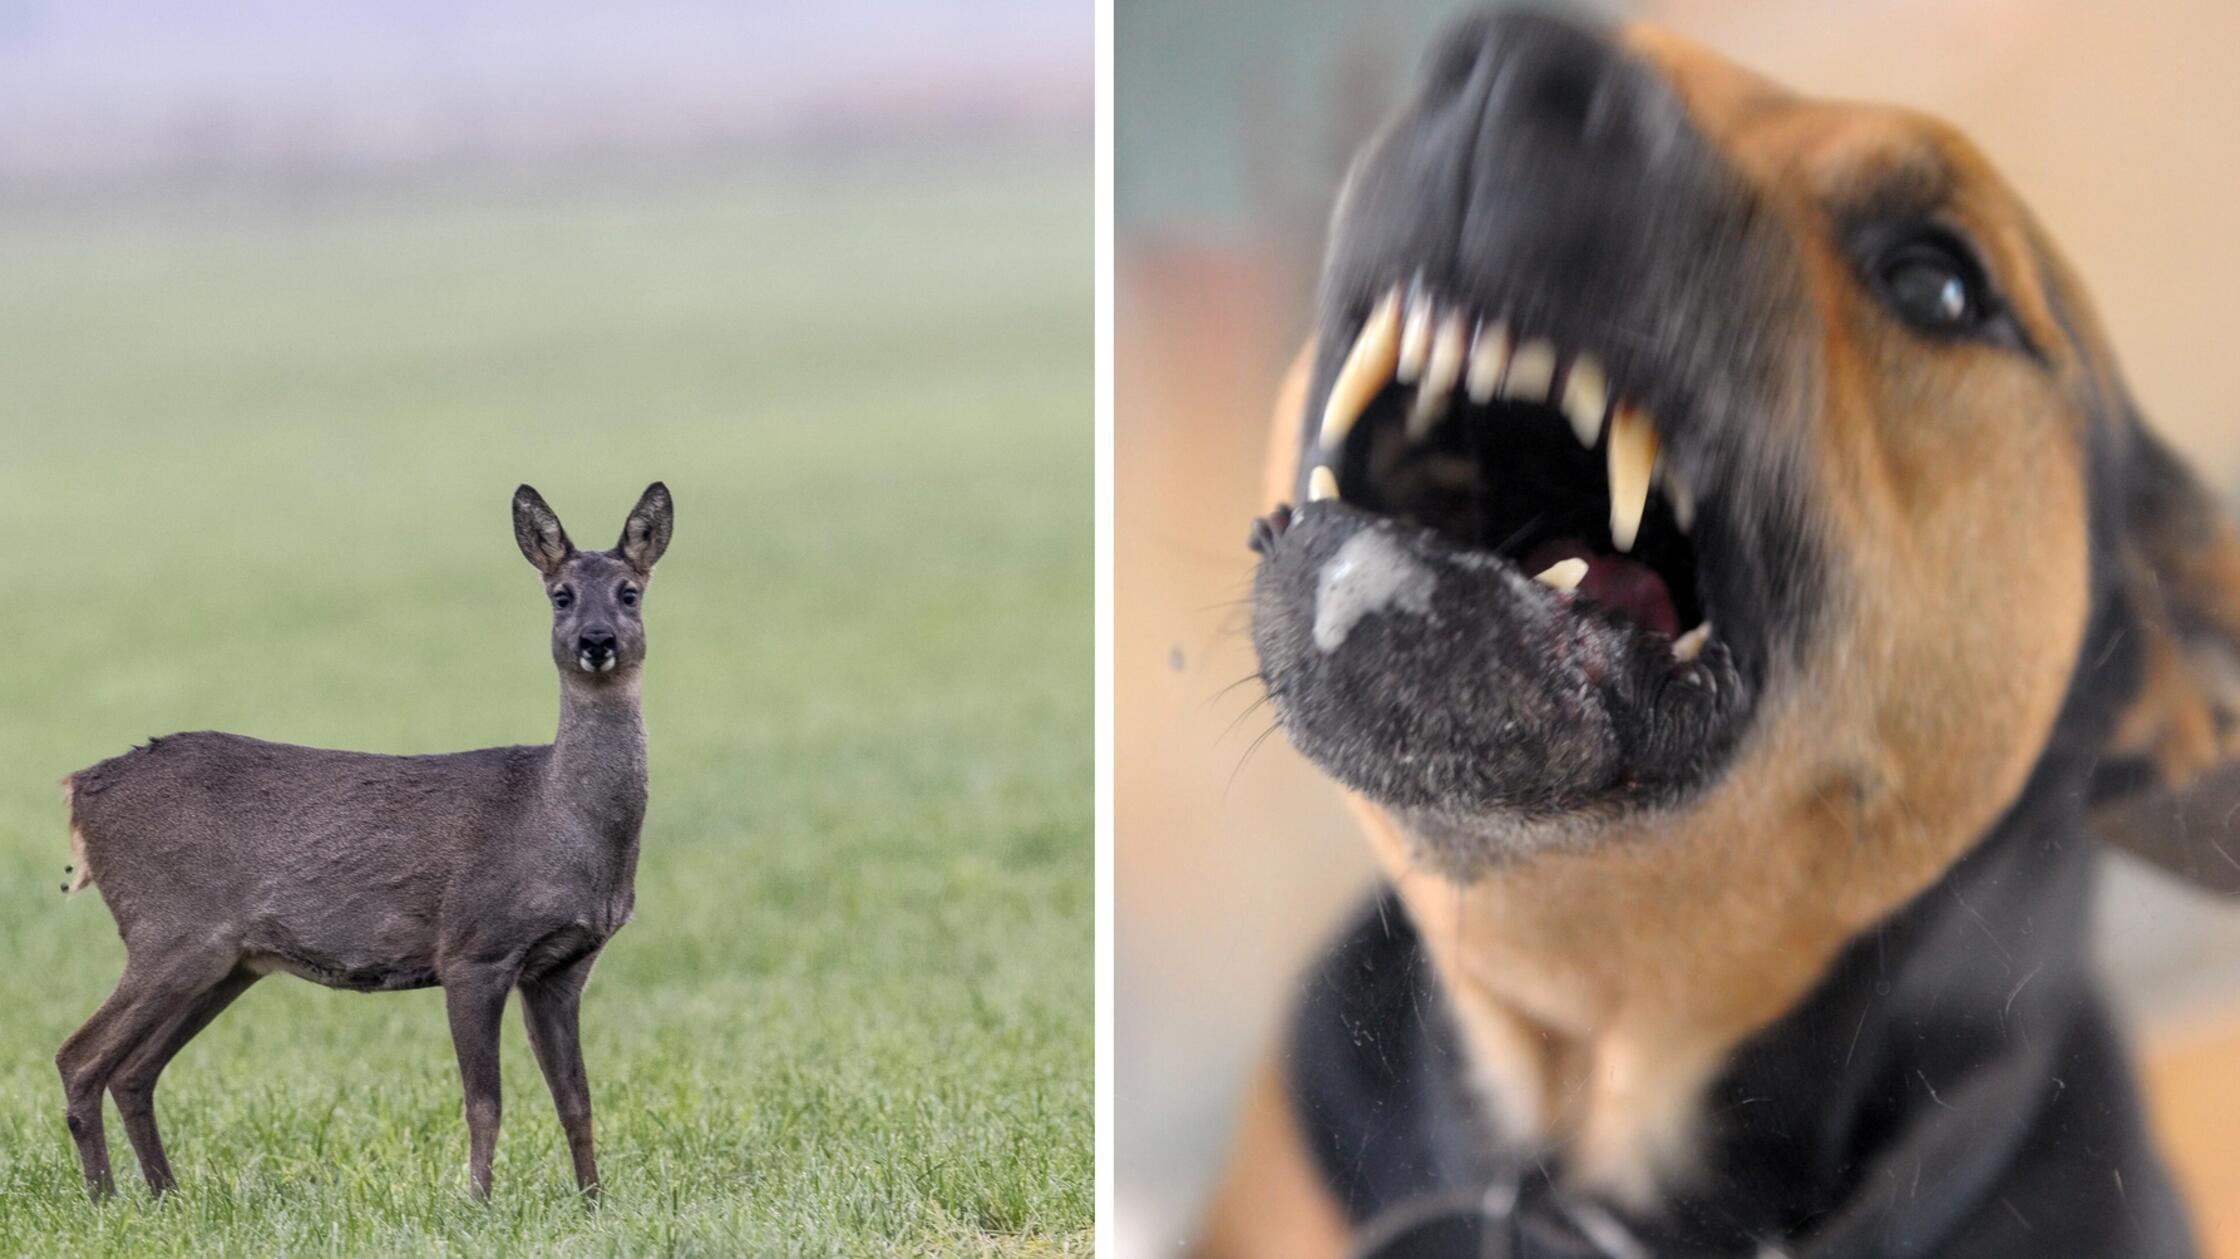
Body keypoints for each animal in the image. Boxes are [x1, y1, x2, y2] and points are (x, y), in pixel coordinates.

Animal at [54, 482, 673, 1203]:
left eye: (630, 591)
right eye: (561, 594)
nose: (597, 641)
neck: (557, 819)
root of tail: (81, 788)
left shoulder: (563, 966)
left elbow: (577, 1100)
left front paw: (593, 1202)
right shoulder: (473, 945)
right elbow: (484, 1100)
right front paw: (478, 1202)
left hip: (226, 961)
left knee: (134, 1070)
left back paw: (163, 1194)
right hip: (170, 929)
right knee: (78, 1055)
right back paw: (106, 1198)